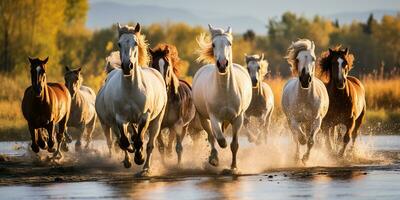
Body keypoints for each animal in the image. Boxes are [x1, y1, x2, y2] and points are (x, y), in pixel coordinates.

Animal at [95, 23, 167, 177]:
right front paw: (131, 156)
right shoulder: (120, 119)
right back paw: (129, 158)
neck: (131, 90)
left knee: (150, 144)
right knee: (123, 139)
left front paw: (140, 158)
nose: (127, 67)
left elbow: (140, 141)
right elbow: (124, 141)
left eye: (135, 43)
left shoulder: (145, 117)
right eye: (119, 43)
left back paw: (146, 168)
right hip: (115, 123)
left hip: (157, 121)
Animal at [192, 24, 252, 173]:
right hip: (203, 118)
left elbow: (234, 145)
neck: (225, 92)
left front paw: (233, 167)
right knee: (211, 136)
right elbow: (219, 138)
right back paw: (213, 158)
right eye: (213, 44)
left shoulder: (238, 118)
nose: (222, 64)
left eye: (229, 43)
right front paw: (215, 159)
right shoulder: (214, 117)